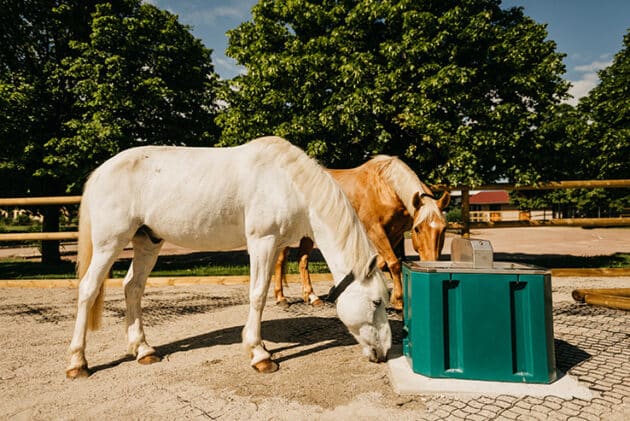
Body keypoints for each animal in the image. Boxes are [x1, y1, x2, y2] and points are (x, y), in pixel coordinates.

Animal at [66, 137, 392, 378]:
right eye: (376, 302)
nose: (385, 352)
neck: (287, 182)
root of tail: (101, 171)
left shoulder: (274, 245)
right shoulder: (262, 241)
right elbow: (258, 295)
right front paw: (260, 355)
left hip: (147, 241)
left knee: (132, 288)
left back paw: (144, 350)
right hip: (110, 243)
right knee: (88, 289)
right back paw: (78, 362)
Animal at [276, 154, 450, 308]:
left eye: (444, 228)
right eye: (417, 229)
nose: (431, 262)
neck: (386, 188)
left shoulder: (395, 234)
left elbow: (382, 263)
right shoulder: (375, 231)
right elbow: (393, 263)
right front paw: (399, 301)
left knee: (302, 259)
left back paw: (311, 296)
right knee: (280, 259)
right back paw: (281, 298)